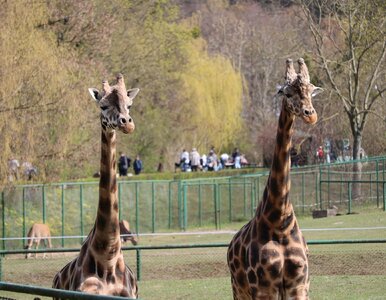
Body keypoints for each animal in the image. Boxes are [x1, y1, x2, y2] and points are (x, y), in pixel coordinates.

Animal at [226, 58, 322, 300]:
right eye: (287, 93)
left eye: (311, 91)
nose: (310, 114)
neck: (280, 221)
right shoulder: (264, 288)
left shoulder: (300, 285)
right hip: (239, 291)